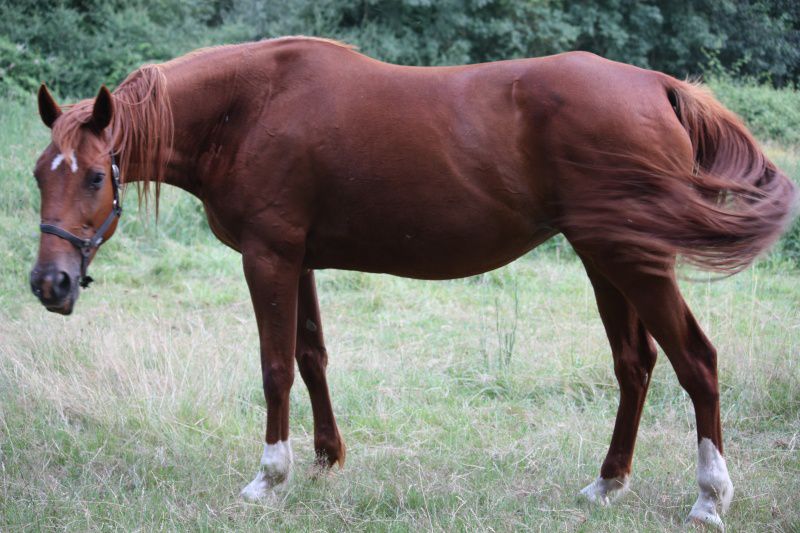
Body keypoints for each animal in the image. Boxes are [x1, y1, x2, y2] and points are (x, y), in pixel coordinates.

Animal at [29, 36, 796, 529]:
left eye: (94, 176)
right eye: (41, 172)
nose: (49, 283)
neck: (249, 108)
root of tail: (659, 88)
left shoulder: (268, 257)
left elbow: (276, 367)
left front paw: (270, 477)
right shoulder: (299, 260)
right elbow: (312, 356)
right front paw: (326, 459)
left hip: (630, 257)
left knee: (696, 361)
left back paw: (709, 498)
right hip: (604, 256)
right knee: (635, 364)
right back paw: (606, 484)